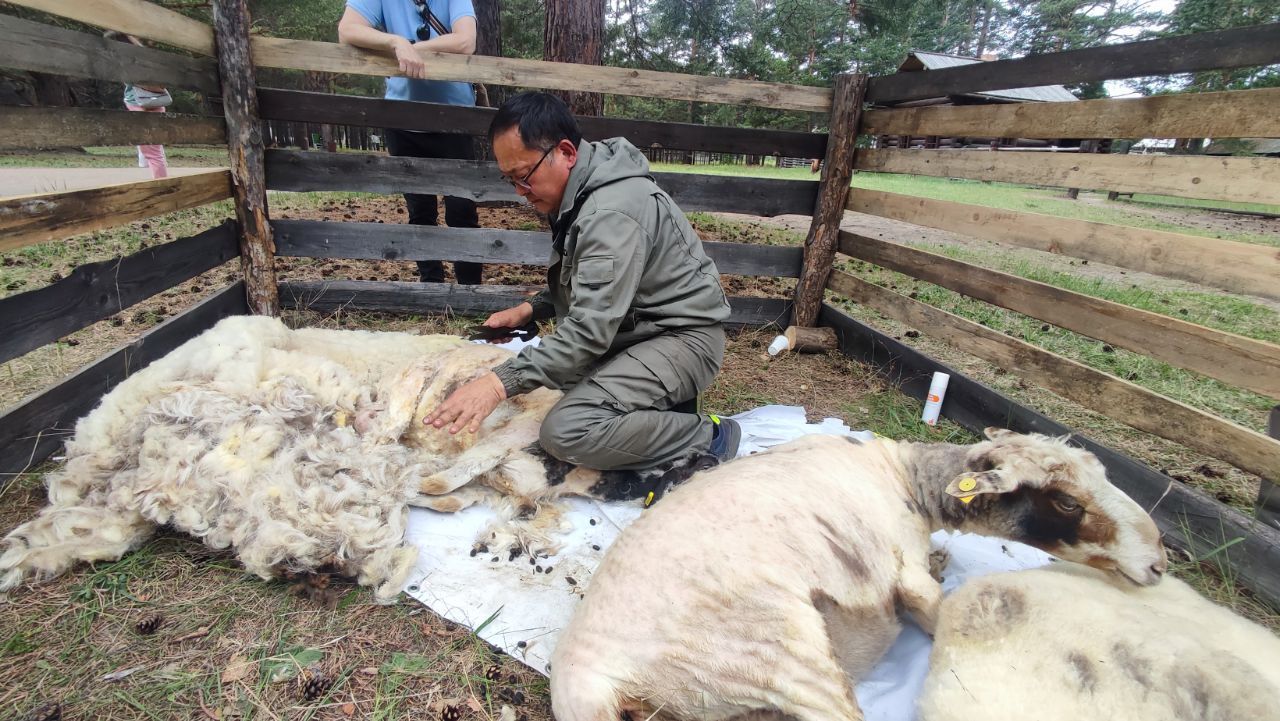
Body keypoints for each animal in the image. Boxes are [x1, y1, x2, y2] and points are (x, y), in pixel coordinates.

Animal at [550, 432, 1172, 717]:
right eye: (1066, 502)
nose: (1158, 564)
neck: (907, 478)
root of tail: (587, 683)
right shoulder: (905, 573)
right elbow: (933, 603)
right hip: (775, 654)